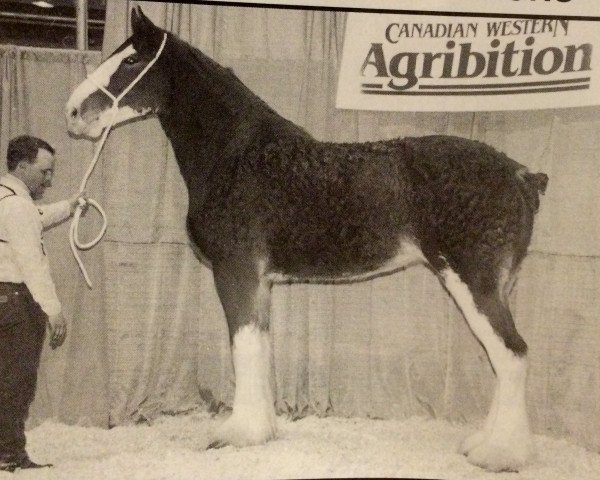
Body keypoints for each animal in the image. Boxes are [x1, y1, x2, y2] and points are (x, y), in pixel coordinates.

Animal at [64, 6, 548, 472]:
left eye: (130, 60)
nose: (71, 113)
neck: (237, 156)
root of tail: (522, 175)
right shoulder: (257, 281)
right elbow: (258, 346)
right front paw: (262, 429)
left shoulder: (236, 271)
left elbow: (243, 346)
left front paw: (236, 434)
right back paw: (483, 443)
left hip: (473, 282)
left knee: (512, 354)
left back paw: (499, 454)